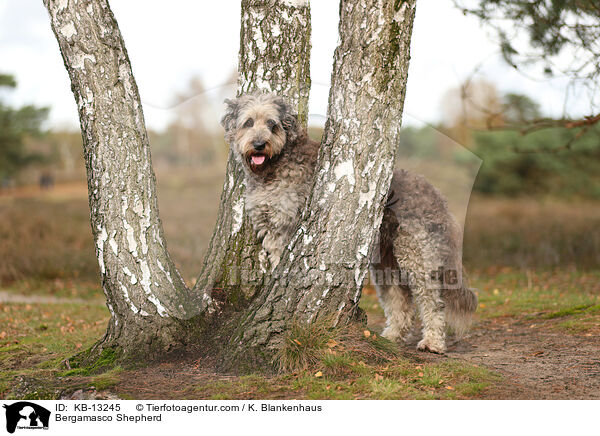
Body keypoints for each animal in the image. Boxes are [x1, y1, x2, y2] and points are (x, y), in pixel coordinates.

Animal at [221, 93, 478, 354]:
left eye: (271, 123)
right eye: (249, 122)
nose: (259, 144)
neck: (275, 166)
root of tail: (437, 197)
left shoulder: (287, 225)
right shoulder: (270, 228)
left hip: (417, 258)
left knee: (432, 301)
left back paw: (432, 341)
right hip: (386, 263)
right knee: (400, 301)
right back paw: (392, 336)